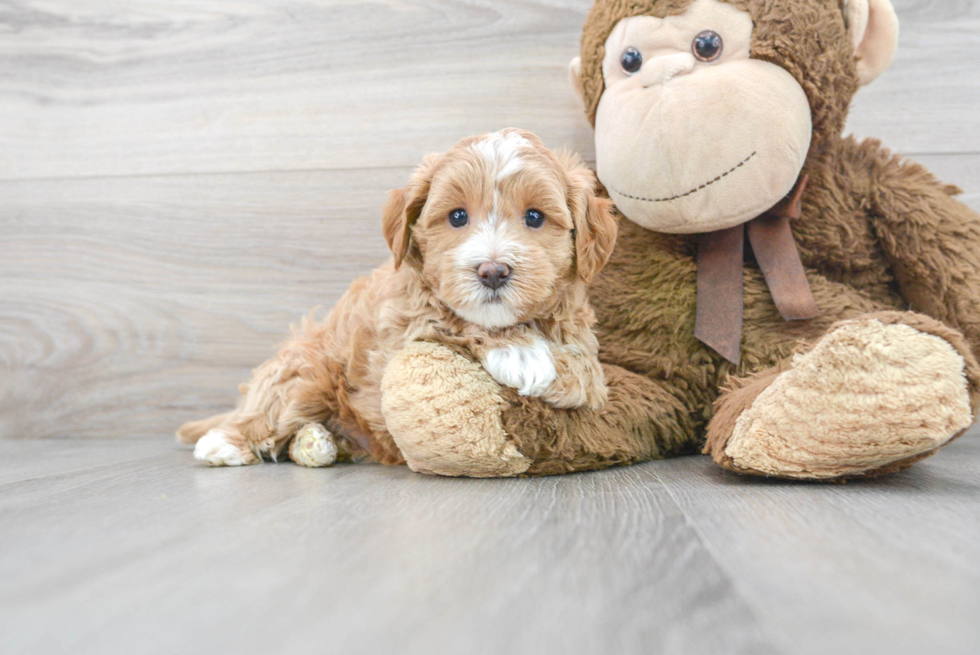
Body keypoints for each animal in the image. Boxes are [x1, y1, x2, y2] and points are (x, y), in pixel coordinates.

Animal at [180, 129, 616, 466]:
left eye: (535, 217)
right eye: (457, 217)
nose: (493, 271)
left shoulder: (584, 346)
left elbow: (588, 372)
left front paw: (545, 363)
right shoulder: (400, 326)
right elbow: (453, 320)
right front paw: (520, 350)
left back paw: (315, 443)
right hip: (308, 370)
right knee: (272, 407)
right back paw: (225, 442)